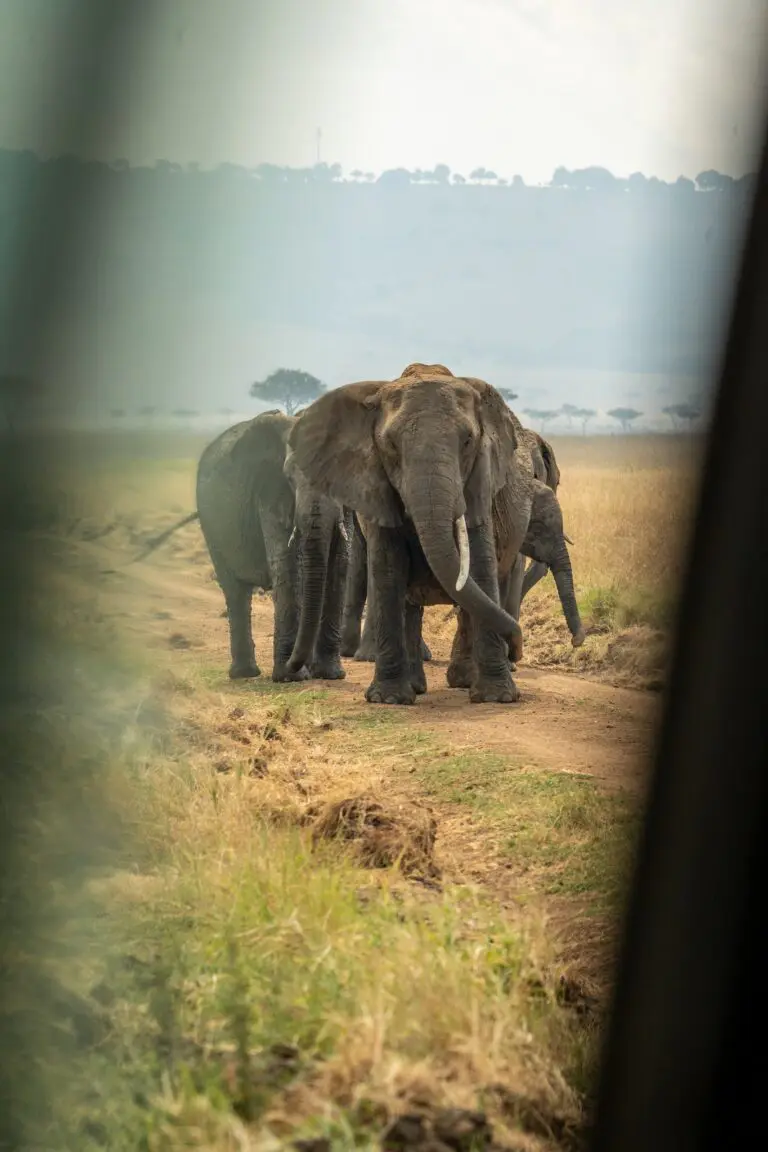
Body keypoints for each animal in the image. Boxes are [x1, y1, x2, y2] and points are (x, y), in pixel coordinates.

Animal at [131, 410, 351, 683]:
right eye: (289, 477)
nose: (295, 665)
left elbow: (341, 564)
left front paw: (331, 675)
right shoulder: (270, 491)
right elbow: (286, 564)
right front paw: (291, 678)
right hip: (212, 525)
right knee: (235, 591)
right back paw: (244, 673)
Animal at [287, 362, 551, 706]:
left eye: (468, 441)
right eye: (390, 445)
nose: (517, 649)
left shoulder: (481, 483)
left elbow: (480, 569)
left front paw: (497, 698)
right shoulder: (374, 486)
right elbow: (388, 571)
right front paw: (388, 699)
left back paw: (462, 681)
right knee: (410, 601)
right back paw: (417, 686)